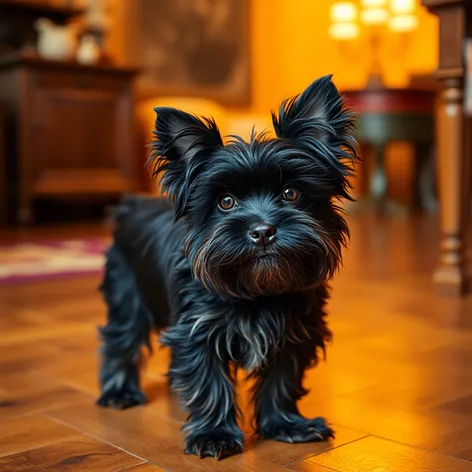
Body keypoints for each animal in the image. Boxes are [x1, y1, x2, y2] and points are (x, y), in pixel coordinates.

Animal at [97, 75, 360, 460]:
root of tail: (130, 204)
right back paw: (119, 393)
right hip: (127, 294)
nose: (263, 230)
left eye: (291, 193)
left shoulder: (295, 332)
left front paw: (285, 426)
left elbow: (282, 380)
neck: (258, 291)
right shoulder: (199, 330)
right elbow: (209, 383)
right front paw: (214, 435)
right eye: (226, 202)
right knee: (120, 340)